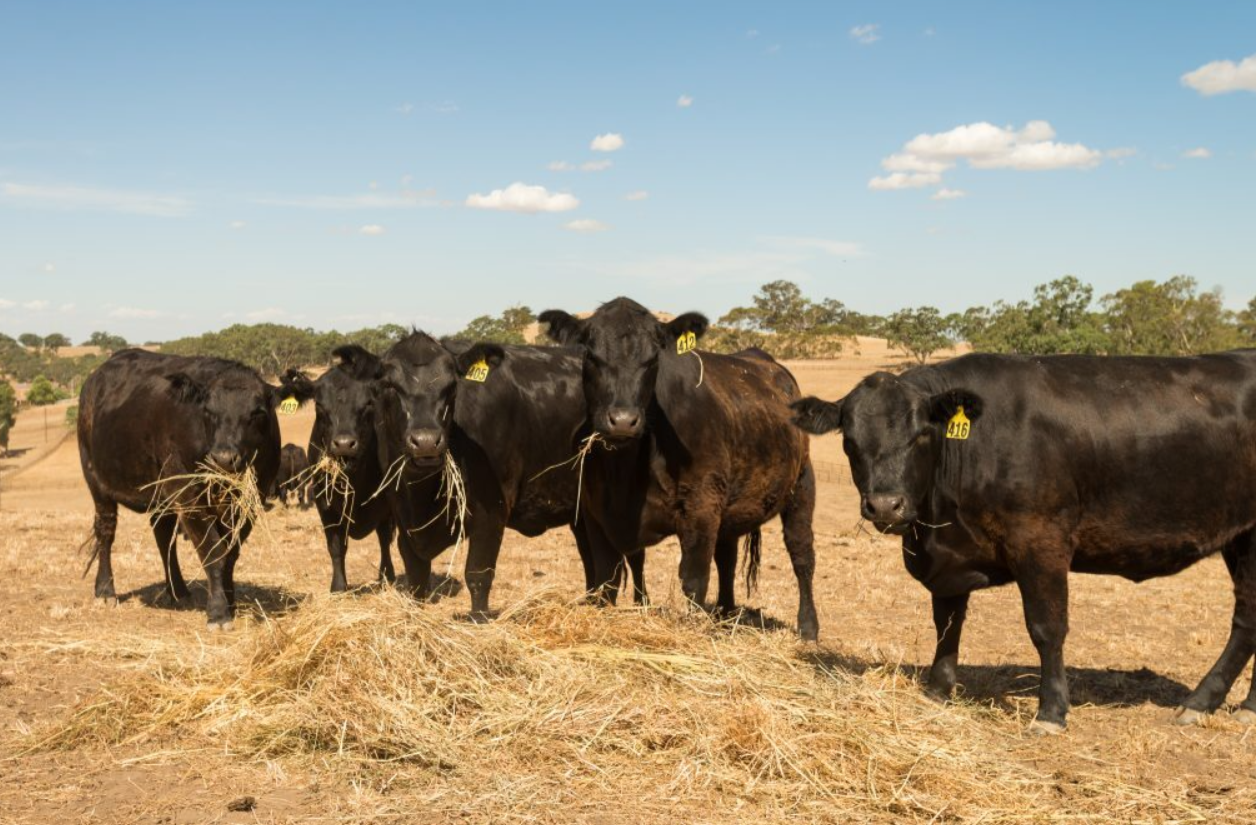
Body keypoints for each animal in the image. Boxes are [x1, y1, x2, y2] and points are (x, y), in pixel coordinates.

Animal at [77, 349, 284, 629]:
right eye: (208, 411)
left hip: (160, 493)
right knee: (106, 533)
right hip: (97, 481)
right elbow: (213, 552)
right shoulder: (189, 497)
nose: (223, 458)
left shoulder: (251, 501)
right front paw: (218, 612)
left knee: (163, 535)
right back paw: (105, 590)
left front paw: (230, 603)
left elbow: (230, 554)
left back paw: (177, 590)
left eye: (257, 413)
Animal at [279, 346, 396, 592]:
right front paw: (339, 586)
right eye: (319, 405)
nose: (344, 444)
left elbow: (384, 539)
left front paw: (387, 576)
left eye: (368, 404)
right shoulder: (325, 503)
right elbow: (335, 545)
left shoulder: (386, 503)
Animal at [369, 331, 640, 616]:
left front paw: (478, 619)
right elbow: (417, 578)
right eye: (390, 385)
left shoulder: (492, 509)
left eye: (452, 386)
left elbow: (478, 574)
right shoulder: (402, 515)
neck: (421, 493)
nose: (425, 442)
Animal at [538, 297, 819, 640]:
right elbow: (606, 580)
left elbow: (694, 579)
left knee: (801, 555)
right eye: (591, 355)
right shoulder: (595, 515)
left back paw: (808, 628)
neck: (625, 472)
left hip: (801, 485)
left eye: (653, 358)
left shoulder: (701, 506)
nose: (622, 420)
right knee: (727, 557)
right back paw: (725, 614)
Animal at [790, 350, 1256, 733]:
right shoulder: (947, 558)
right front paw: (938, 689)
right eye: (850, 441)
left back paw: (1200, 702)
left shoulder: (1040, 543)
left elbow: (1046, 628)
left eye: (922, 433)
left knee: (1246, 620)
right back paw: (1243, 708)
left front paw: (1051, 711)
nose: (886, 505)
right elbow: (947, 622)